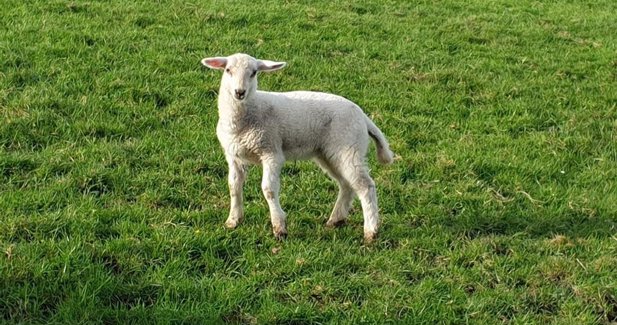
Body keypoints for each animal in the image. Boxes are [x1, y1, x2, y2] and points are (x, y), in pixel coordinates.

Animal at [202, 52, 394, 240]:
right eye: (228, 70)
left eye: (254, 73)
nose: (239, 92)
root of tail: (363, 116)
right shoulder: (233, 156)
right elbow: (233, 187)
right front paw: (233, 221)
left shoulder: (272, 152)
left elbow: (268, 189)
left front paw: (279, 228)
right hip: (329, 153)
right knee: (347, 185)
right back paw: (335, 220)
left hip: (349, 147)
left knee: (365, 186)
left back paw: (370, 231)